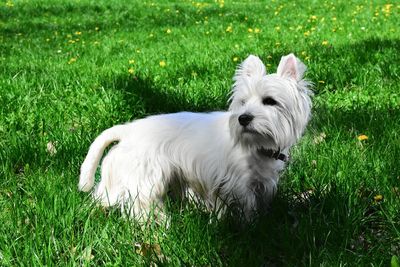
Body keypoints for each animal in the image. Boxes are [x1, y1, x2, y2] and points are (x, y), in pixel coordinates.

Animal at [79, 53, 312, 221]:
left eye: (270, 101)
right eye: (243, 102)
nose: (243, 118)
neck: (256, 146)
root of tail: (128, 130)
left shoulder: (258, 182)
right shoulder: (236, 183)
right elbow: (245, 207)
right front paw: (250, 225)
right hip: (145, 178)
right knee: (141, 204)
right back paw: (157, 224)